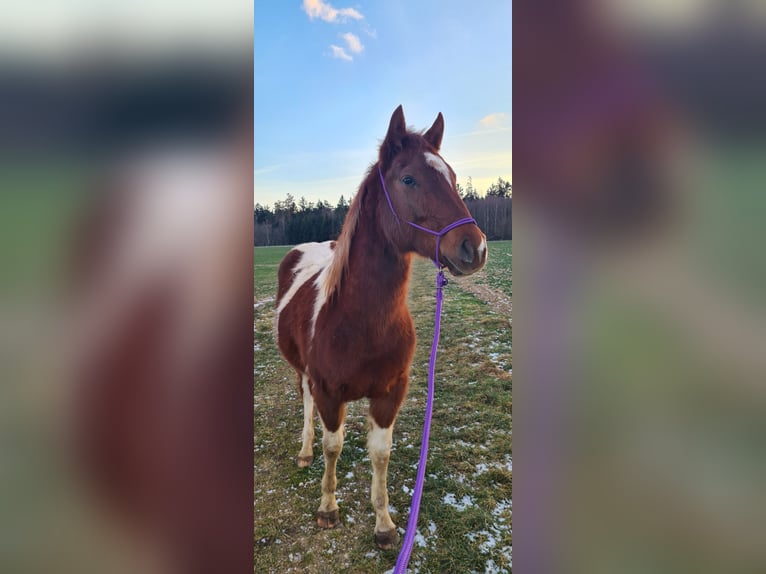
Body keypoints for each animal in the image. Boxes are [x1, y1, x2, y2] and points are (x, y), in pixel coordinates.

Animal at [276, 106, 488, 552]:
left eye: (452, 176)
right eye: (408, 179)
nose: (474, 247)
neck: (359, 322)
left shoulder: (390, 393)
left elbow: (380, 454)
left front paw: (385, 524)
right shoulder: (329, 391)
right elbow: (332, 445)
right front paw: (328, 508)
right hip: (303, 373)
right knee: (305, 404)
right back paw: (304, 451)